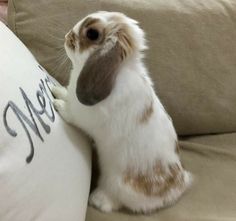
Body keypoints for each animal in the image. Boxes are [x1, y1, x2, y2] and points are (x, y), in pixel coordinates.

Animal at [52, 11, 192, 213]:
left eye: (92, 34)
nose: (67, 36)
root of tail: (176, 188)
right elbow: (66, 94)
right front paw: (57, 89)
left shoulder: (82, 116)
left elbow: (70, 113)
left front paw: (57, 103)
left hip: (118, 184)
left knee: (117, 201)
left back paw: (98, 199)